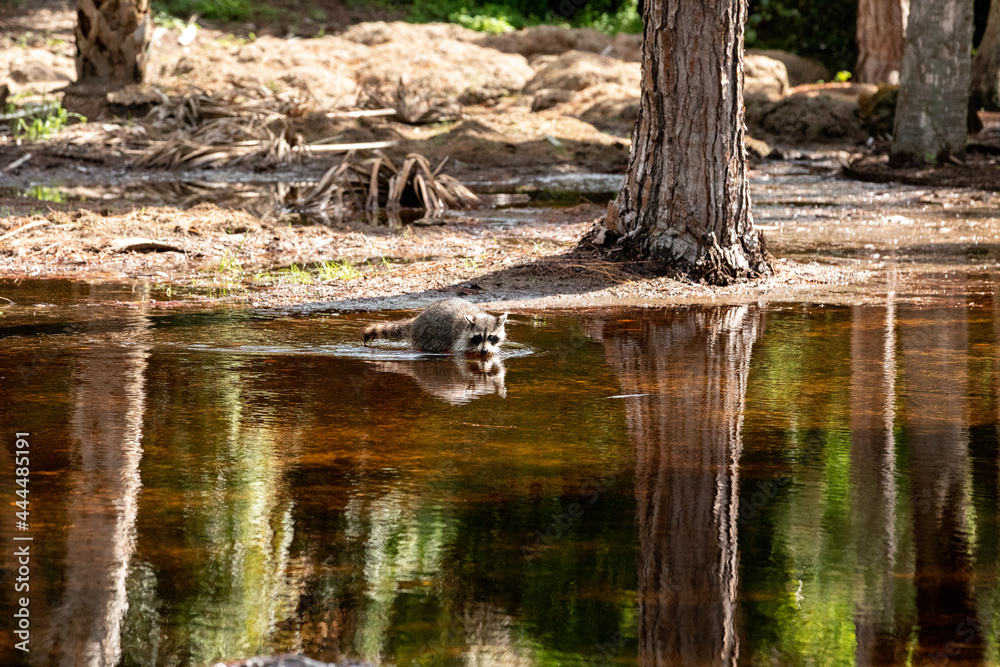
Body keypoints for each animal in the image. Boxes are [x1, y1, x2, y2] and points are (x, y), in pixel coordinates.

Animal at [363, 298, 509, 356]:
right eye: (478, 337)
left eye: (491, 337)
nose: (484, 350)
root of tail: (417, 320)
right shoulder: (460, 339)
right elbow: (461, 349)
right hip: (426, 335)